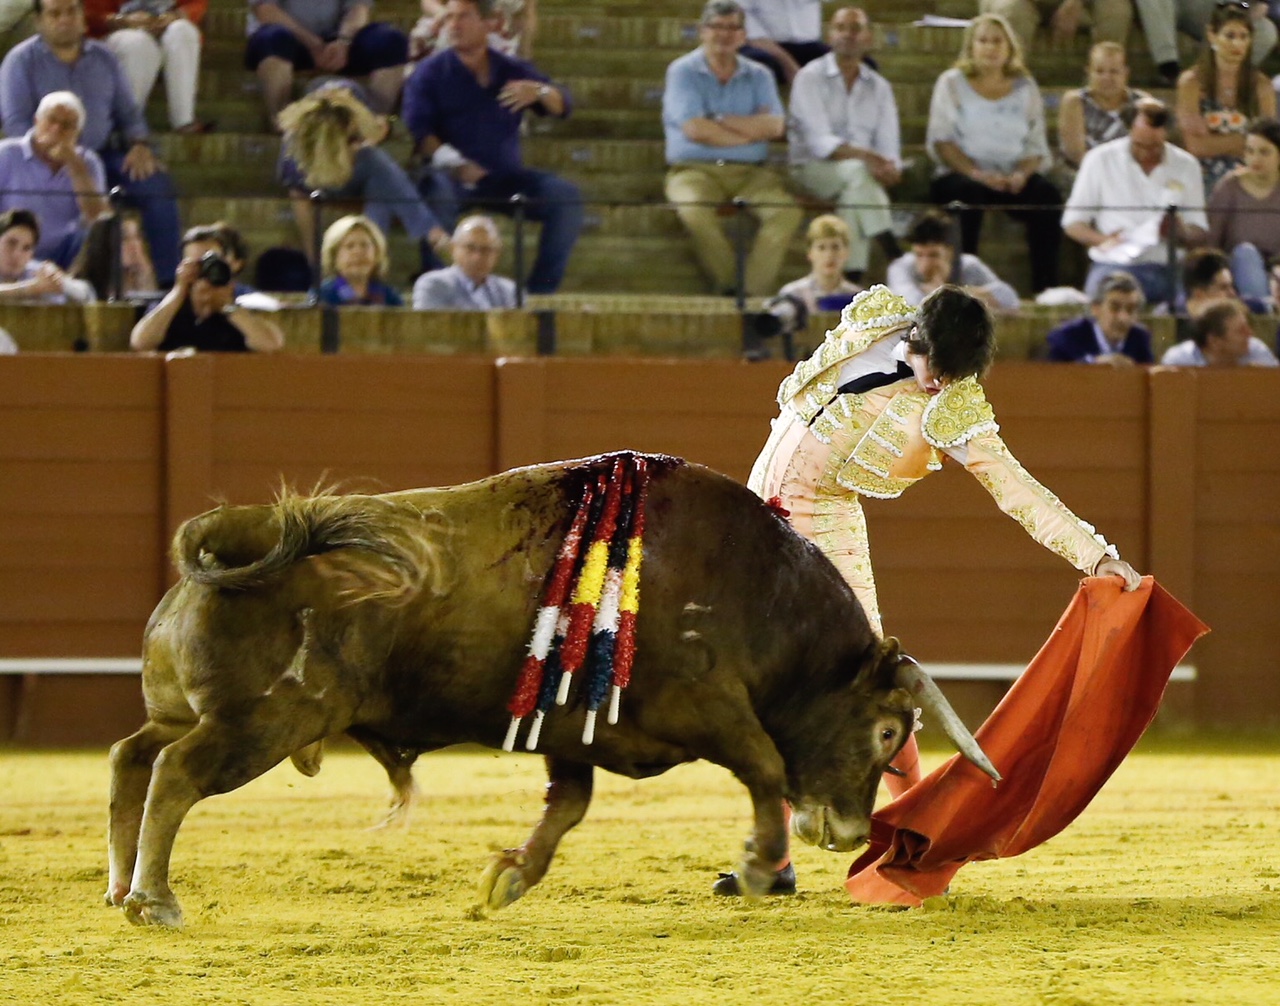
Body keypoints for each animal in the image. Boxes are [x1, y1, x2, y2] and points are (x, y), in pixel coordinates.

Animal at [106, 453, 998, 927]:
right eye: (887, 731)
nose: (847, 833)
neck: (757, 590)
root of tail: (244, 533)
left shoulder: (574, 735)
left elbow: (566, 807)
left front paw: (508, 878)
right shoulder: (707, 707)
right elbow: (765, 767)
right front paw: (754, 866)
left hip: (187, 712)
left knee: (130, 757)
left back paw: (119, 884)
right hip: (262, 723)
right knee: (176, 774)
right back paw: (156, 897)